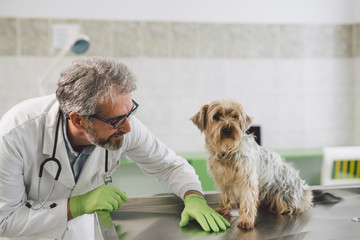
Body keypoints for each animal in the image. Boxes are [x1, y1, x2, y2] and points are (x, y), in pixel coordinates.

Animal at [191, 99, 312, 231]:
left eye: (235, 117)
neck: (228, 150)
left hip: (283, 195)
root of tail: (302, 189)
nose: (228, 129)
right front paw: (224, 209)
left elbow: (248, 200)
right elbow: (226, 195)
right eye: (216, 116)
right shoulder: (224, 179)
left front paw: (246, 220)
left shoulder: (248, 179)